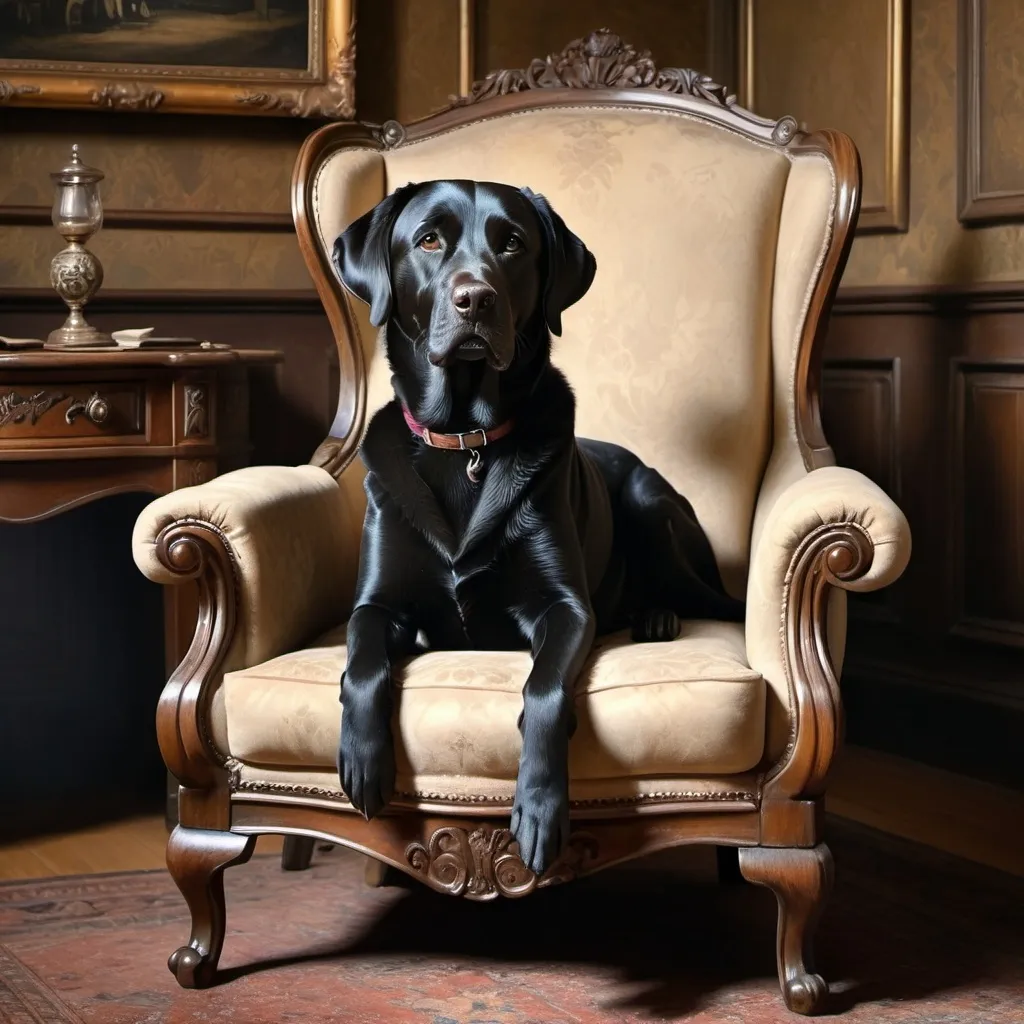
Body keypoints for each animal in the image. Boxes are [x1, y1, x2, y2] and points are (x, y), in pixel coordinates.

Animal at [331, 178, 741, 872]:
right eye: (429, 240)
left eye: (513, 244)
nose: (476, 298)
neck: (466, 441)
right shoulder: (376, 602)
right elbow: (361, 660)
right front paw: (363, 758)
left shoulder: (566, 608)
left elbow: (544, 689)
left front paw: (542, 807)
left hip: (650, 503)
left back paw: (657, 616)